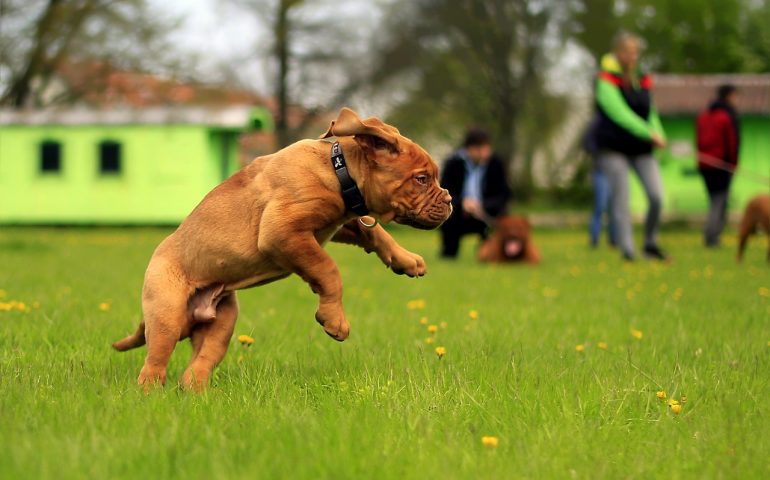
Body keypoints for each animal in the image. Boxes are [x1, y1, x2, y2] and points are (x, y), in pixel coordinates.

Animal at [111, 109, 452, 390]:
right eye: (422, 179)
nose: (450, 200)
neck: (339, 171)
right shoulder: (283, 231)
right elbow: (328, 269)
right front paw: (334, 319)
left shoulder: (336, 223)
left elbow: (374, 232)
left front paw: (406, 260)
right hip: (166, 315)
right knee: (154, 364)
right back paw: (152, 395)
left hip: (221, 322)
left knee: (200, 363)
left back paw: (197, 392)